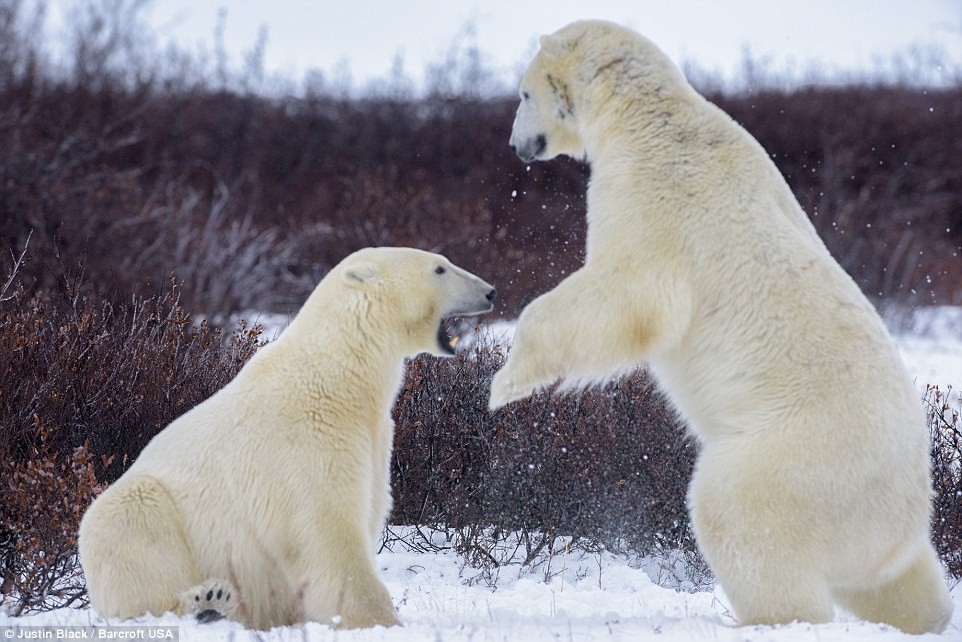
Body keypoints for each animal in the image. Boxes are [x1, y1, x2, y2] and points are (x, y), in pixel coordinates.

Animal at [79, 248, 496, 628]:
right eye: (440, 268)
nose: (491, 291)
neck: (339, 373)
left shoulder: (374, 439)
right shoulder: (307, 440)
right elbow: (327, 533)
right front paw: (381, 621)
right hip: (144, 513)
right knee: (135, 532)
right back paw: (207, 601)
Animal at [492, 18, 948, 632]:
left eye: (522, 93)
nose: (516, 146)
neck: (647, 118)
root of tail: (908, 508)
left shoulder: (654, 196)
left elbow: (629, 292)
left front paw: (504, 383)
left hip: (801, 458)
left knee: (736, 513)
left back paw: (760, 619)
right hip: (879, 529)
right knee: (895, 580)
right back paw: (930, 616)